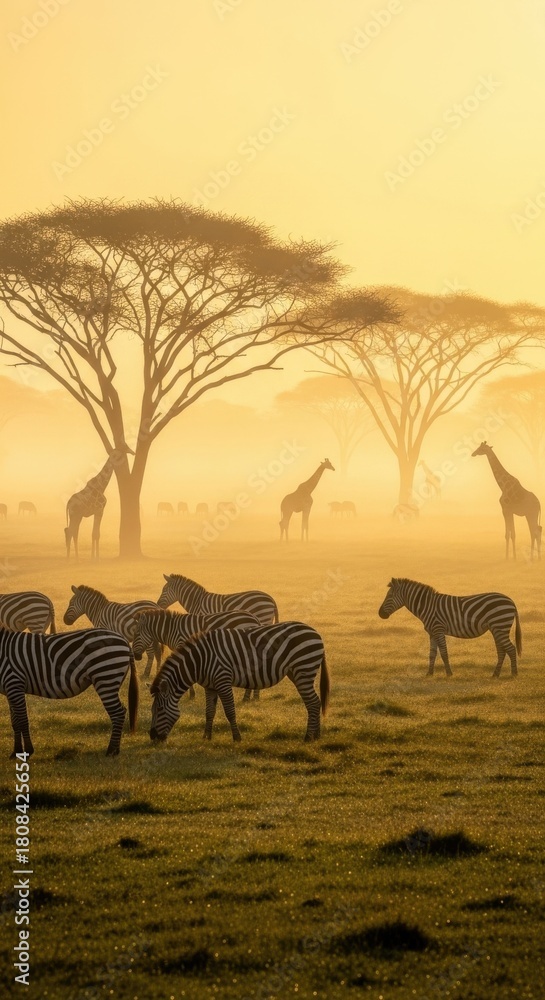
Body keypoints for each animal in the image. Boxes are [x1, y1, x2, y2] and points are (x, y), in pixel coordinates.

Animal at [0, 627, 138, 756]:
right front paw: (16, 752)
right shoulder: (9, 690)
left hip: (105, 677)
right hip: (112, 680)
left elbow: (22, 720)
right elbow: (15, 722)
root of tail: (124, 640)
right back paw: (116, 750)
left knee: (118, 713)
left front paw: (28, 751)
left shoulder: (14, 682)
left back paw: (111, 751)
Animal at [149, 622, 329, 744]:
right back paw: (317, 735)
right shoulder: (210, 686)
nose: (152, 737)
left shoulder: (223, 680)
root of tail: (316, 633)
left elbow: (230, 711)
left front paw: (237, 737)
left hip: (303, 670)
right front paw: (206, 737)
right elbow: (209, 711)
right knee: (315, 702)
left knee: (313, 703)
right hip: (297, 672)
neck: (199, 661)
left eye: (159, 709)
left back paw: (308, 737)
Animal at [378, 578, 522, 677]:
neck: (427, 606)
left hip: (500, 625)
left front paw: (449, 673)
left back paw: (514, 674)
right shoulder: (432, 633)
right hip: (496, 629)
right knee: (502, 650)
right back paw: (495, 674)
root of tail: (511, 601)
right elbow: (432, 653)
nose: (380, 614)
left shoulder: (438, 629)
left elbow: (444, 653)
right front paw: (429, 673)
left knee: (511, 648)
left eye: (389, 596)